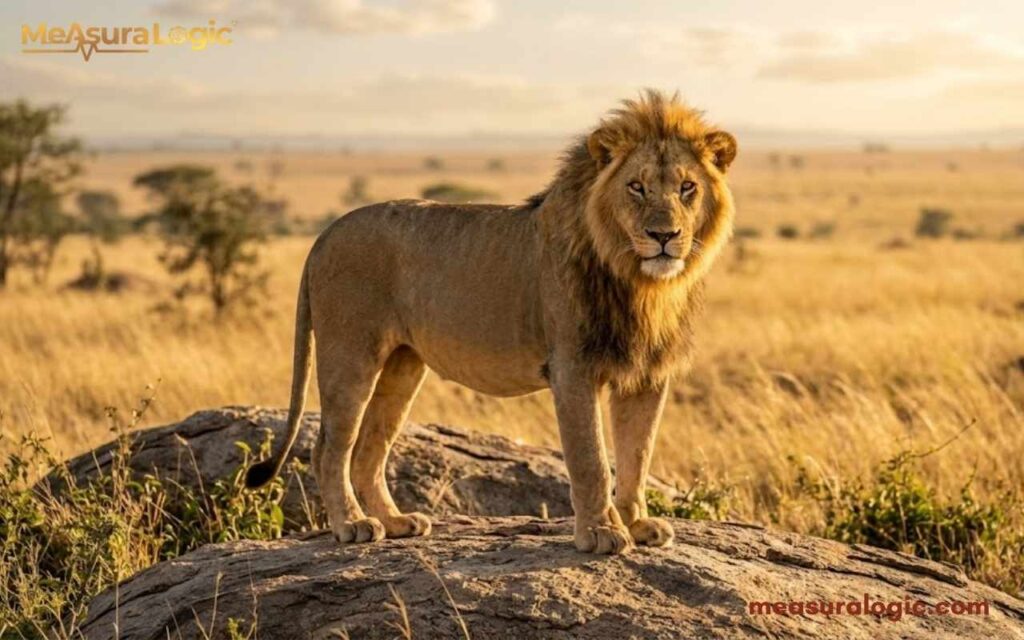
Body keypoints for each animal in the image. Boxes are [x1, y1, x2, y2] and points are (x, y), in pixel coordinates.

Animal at [245, 90, 737, 555]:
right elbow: (592, 459)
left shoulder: (647, 374)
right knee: (329, 447)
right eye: (636, 187)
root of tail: (324, 234)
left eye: (687, 187)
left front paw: (636, 525)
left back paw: (396, 522)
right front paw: (600, 533)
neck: (642, 283)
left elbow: (637, 455)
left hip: (403, 365)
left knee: (369, 448)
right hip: (349, 353)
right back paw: (353, 525)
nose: (664, 236)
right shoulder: (572, 367)